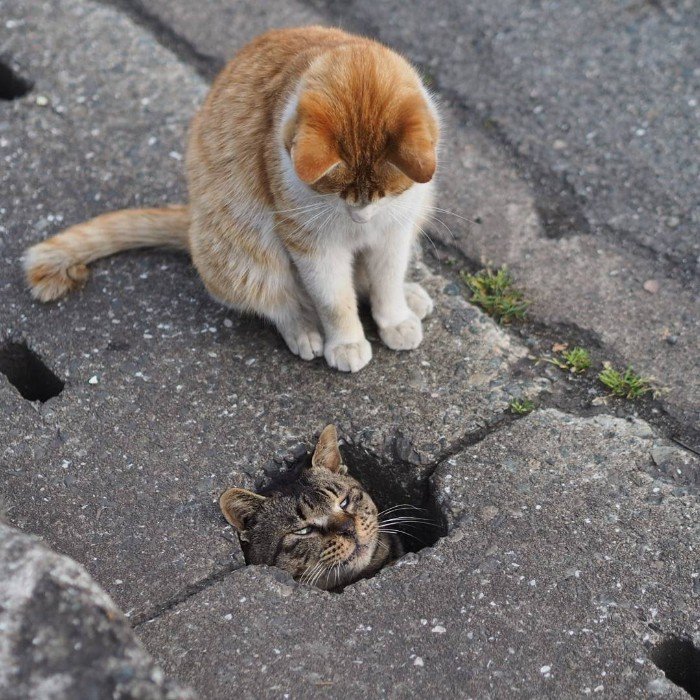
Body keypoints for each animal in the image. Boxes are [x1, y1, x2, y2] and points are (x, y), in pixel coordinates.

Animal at [26, 28, 438, 372]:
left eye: (387, 194)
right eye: (333, 192)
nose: (360, 218)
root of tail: (192, 219)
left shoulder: (395, 231)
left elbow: (386, 280)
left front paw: (395, 316)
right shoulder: (312, 244)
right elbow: (334, 300)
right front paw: (346, 341)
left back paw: (410, 297)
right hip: (247, 251)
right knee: (279, 300)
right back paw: (304, 329)